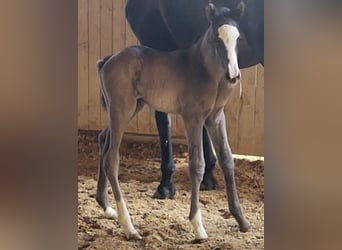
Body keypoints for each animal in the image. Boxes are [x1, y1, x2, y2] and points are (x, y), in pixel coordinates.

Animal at [95, 4, 250, 240]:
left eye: (238, 37)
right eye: (216, 38)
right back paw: (129, 227)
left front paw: (242, 221)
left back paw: (107, 207)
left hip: (132, 107)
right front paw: (198, 226)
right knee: (111, 158)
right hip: (121, 109)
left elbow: (227, 160)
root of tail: (108, 60)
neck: (203, 69)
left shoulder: (215, 118)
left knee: (104, 139)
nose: (233, 75)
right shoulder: (193, 118)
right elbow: (197, 165)